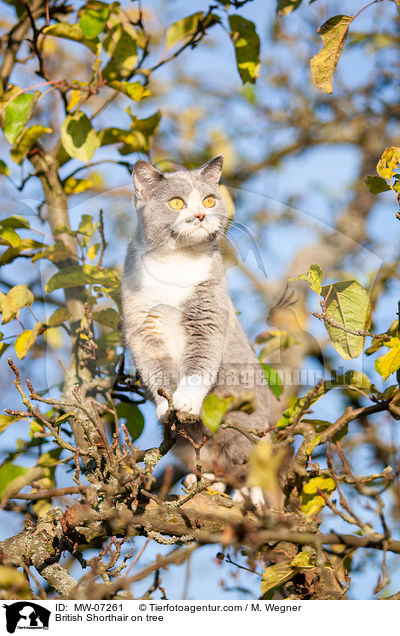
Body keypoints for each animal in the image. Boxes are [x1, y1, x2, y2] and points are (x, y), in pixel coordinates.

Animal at [122, 157, 270, 484]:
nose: (201, 214)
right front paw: (166, 406)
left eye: (210, 200)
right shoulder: (143, 324)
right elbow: (156, 369)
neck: (175, 263)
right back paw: (200, 479)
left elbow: (201, 359)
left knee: (244, 466)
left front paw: (186, 401)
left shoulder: (209, 312)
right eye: (176, 202)